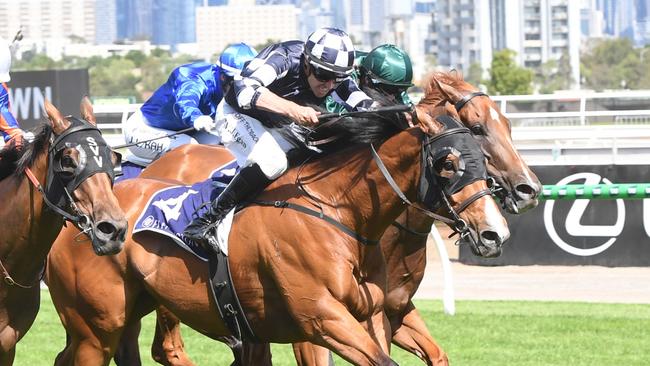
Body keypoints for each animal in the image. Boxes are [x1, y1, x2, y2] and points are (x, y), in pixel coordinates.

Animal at [112, 71, 540, 366]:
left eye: (507, 124)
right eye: (478, 129)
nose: (529, 190)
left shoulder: (394, 310)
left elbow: (436, 354)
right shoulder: (313, 322)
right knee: (166, 347)